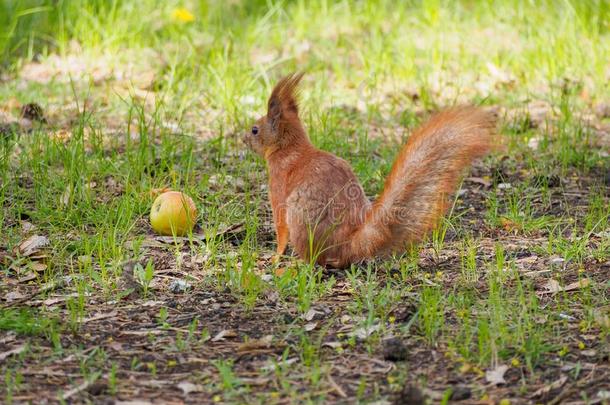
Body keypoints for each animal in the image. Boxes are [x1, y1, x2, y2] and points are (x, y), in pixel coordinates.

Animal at [243, 73, 494, 268]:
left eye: (255, 130)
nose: (244, 139)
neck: (290, 148)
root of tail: (348, 246)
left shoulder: (278, 183)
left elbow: (280, 227)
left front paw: (276, 256)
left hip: (299, 216)